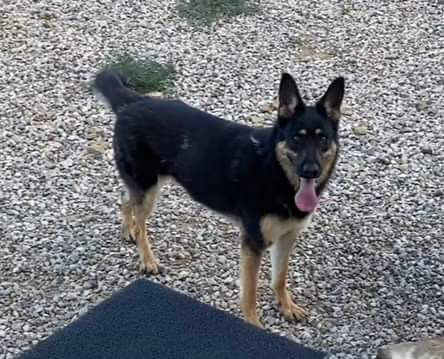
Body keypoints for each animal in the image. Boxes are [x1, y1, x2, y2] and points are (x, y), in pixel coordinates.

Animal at [93, 71, 344, 330]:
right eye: (296, 138)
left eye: (323, 139)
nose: (311, 171)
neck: (274, 168)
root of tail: (134, 101)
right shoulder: (253, 243)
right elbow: (250, 293)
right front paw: (253, 325)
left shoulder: (287, 238)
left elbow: (279, 278)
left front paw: (286, 306)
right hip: (149, 187)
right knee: (140, 221)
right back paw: (147, 258)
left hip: (146, 184)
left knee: (125, 197)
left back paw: (127, 229)